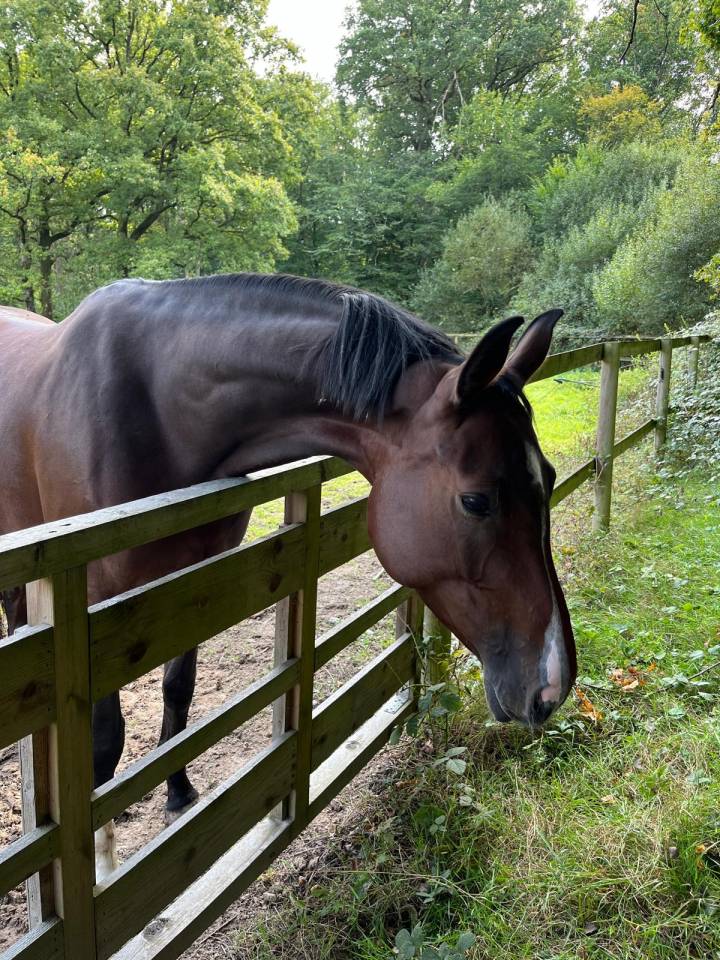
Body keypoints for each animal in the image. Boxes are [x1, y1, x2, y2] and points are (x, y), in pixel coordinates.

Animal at [0, 273, 576, 878]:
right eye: (476, 501)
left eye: (548, 478)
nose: (553, 684)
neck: (156, 405)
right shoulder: (90, 598)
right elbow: (103, 741)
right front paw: (104, 861)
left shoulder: (190, 583)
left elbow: (179, 689)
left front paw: (178, 793)